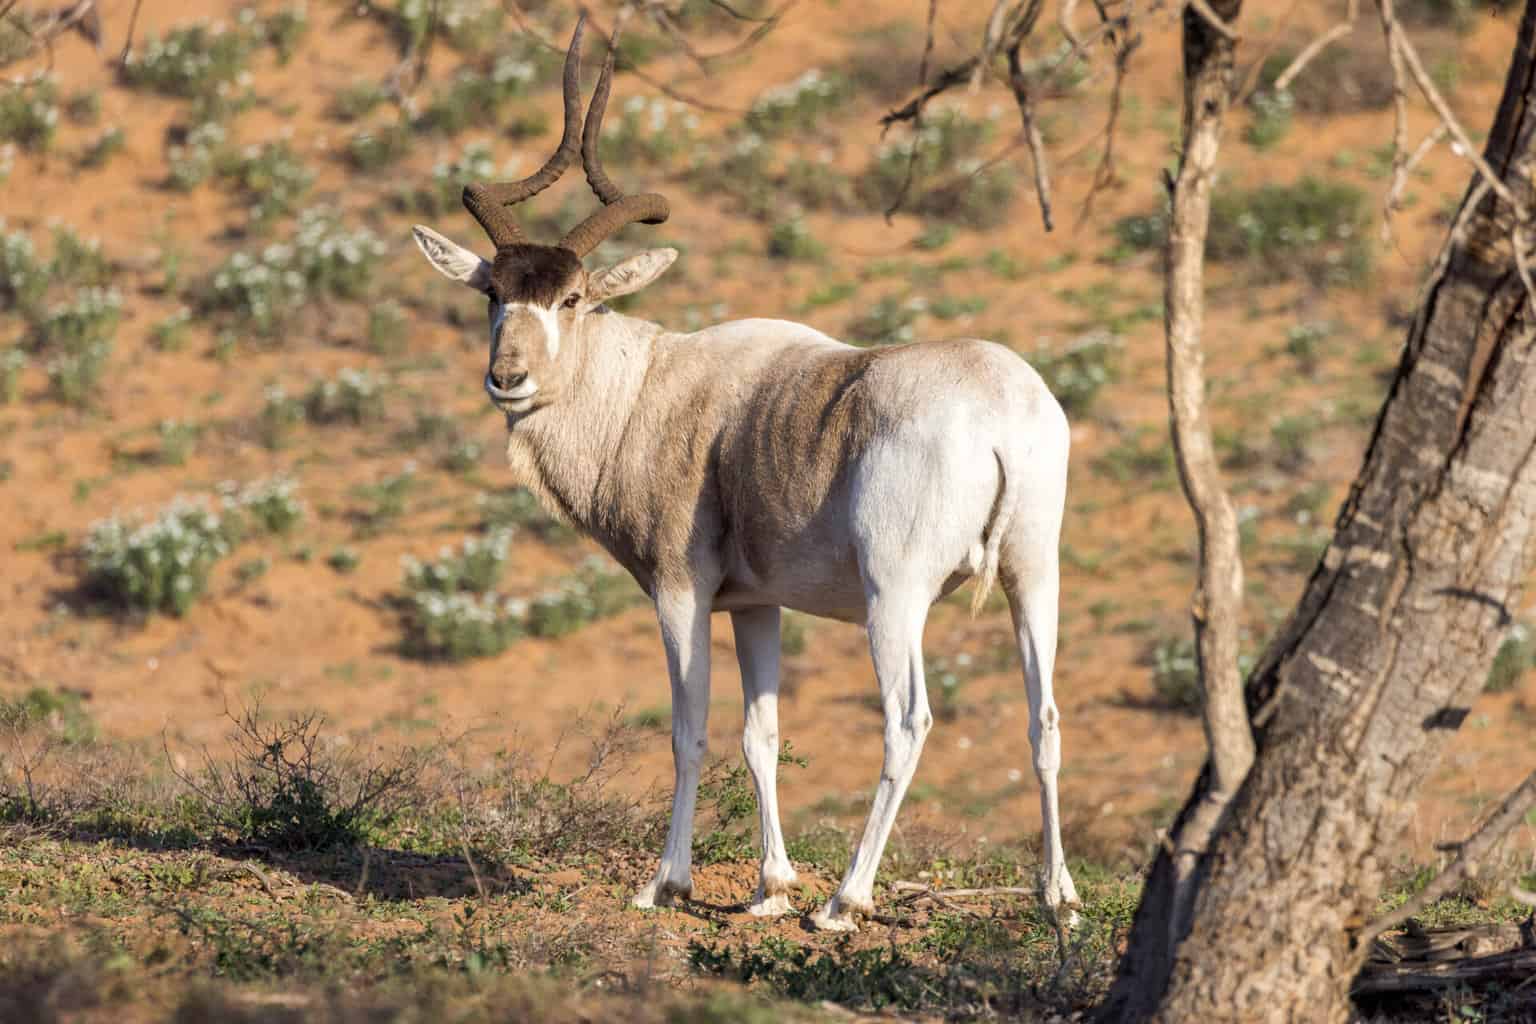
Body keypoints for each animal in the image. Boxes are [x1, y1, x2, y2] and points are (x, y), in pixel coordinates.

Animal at [411, 17, 1078, 932]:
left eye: (573, 297)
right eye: (491, 292)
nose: (507, 378)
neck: (648, 386)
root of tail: (1002, 407)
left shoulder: (681, 591)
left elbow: (688, 728)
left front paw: (666, 883)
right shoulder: (758, 605)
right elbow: (761, 734)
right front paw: (769, 887)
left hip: (895, 594)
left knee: (908, 721)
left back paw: (844, 900)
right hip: (1031, 573)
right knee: (1043, 716)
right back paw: (1058, 897)